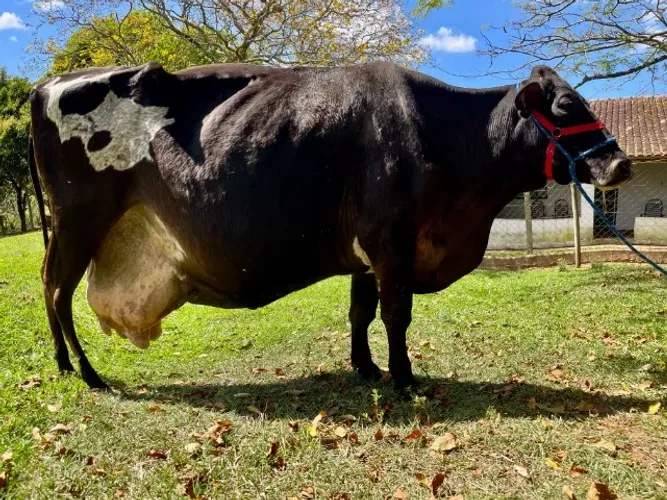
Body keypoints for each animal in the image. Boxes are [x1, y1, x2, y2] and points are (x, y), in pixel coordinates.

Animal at [29, 62, 632, 390]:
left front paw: (364, 368)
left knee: (48, 284)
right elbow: (395, 314)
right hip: (79, 220)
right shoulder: (392, 241)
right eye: (564, 104)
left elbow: (360, 312)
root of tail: (49, 83)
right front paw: (403, 377)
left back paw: (64, 366)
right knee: (59, 291)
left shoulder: (367, 254)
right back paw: (90, 373)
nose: (621, 163)